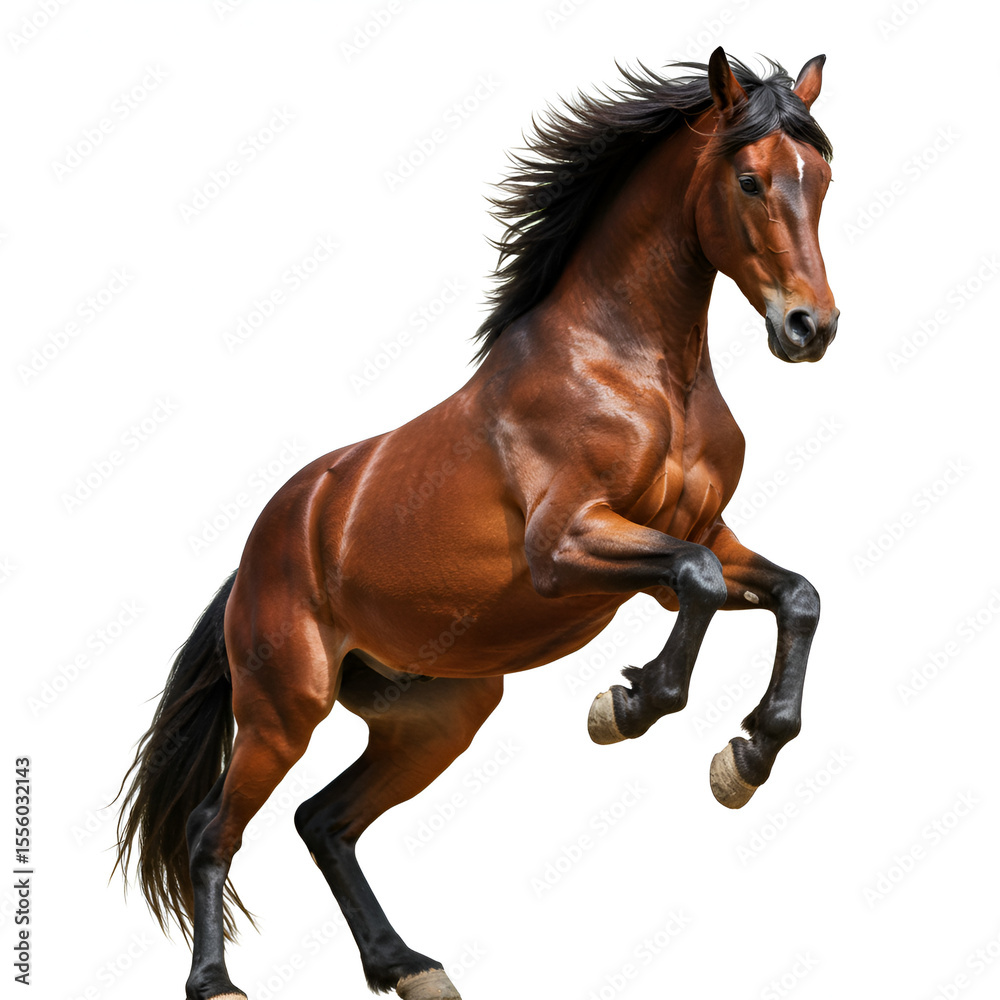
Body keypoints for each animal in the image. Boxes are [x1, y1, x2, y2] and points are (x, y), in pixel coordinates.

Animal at [115, 46, 838, 1000]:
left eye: (822, 178)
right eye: (750, 180)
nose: (810, 326)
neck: (633, 369)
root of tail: (260, 549)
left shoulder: (707, 532)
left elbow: (795, 595)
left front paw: (747, 756)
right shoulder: (565, 546)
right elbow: (699, 582)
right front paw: (628, 704)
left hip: (439, 716)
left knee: (324, 820)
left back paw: (408, 966)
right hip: (283, 709)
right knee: (214, 827)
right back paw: (217, 983)